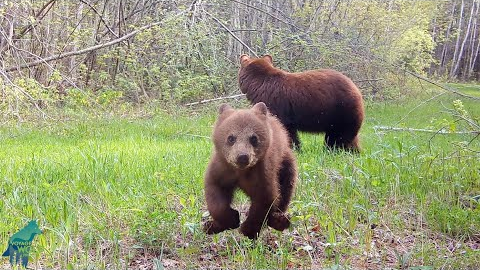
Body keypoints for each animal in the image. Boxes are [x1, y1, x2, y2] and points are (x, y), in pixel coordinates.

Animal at [238, 54, 366, 152]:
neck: (258, 84)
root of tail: (357, 90)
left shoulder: (274, 104)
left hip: (342, 110)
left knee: (339, 137)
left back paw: (333, 150)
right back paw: (354, 151)